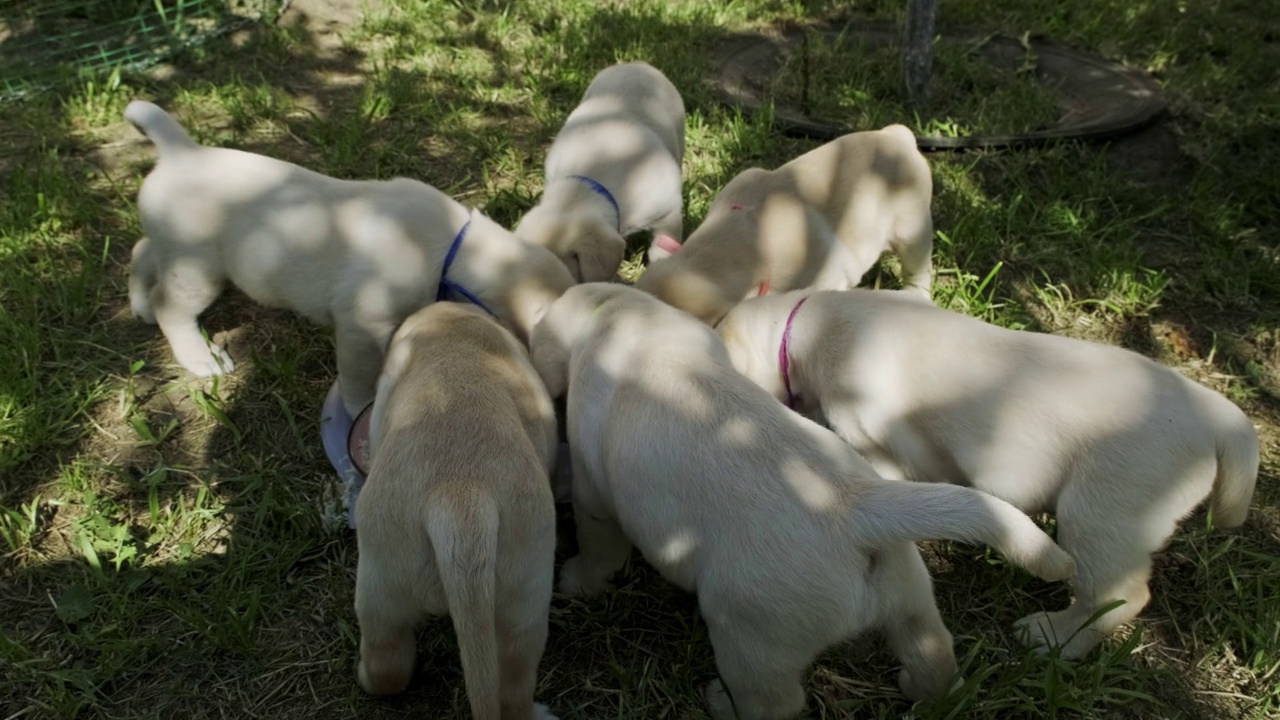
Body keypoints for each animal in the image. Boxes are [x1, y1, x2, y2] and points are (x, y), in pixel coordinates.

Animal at [124, 101, 576, 415]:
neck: (455, 248)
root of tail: (181, 152)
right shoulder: (362, 328)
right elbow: (361, 381)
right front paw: (362, 409)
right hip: (197, 268)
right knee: (172, 308)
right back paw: (200, 357)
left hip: (175, 251)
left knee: (141, 251)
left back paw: (139, 304)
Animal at [716, 288, 1264, 661]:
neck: (810, 321)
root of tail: (1215, 414)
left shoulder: (877, 442)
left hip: (1101, 514)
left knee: (1119, 597)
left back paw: (1051, 636)